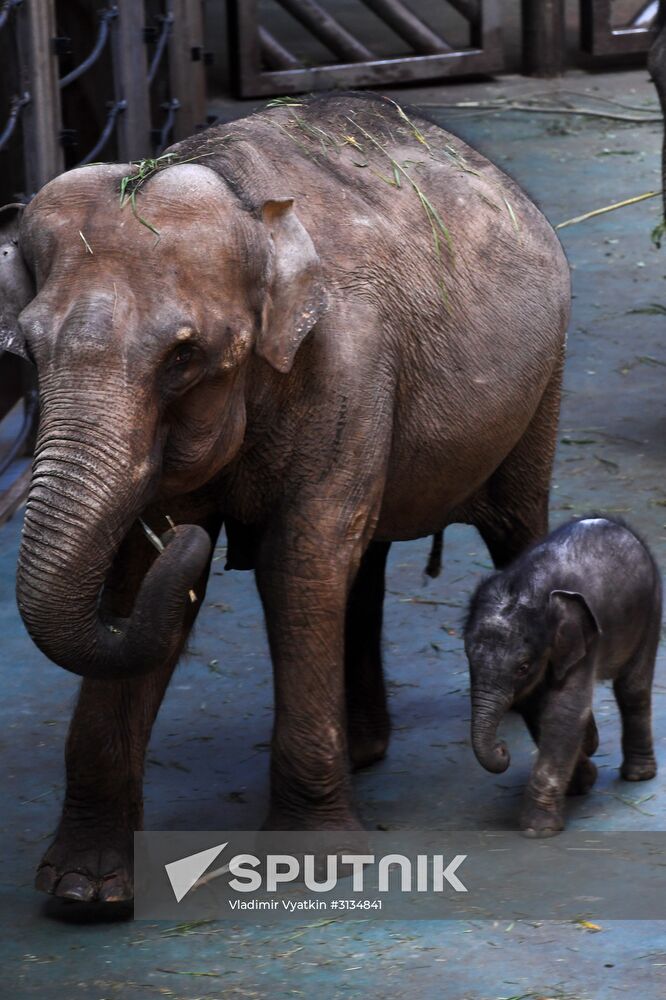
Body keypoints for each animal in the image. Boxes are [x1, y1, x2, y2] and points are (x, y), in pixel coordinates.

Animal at [0, 93, 570, 901]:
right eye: (27, 349)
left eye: (183, 358)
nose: (193, 537)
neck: (245, 202)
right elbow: (142, 585)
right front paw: (83, 891)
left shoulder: (350, 359)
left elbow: (296, 563)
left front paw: (315, 863)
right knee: (362, 561)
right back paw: (362, 752)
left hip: (542, 381)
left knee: (514, 527)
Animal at [464, 517, 660, 837]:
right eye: (468, 656)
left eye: (522, 666)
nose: (503, 749)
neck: (527, 586)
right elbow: (536, 709)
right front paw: (581, 784)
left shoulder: (584, 638)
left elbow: (564, 711)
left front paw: (538, 829)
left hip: (651, 606)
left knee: (632, 687)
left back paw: (638, 775)